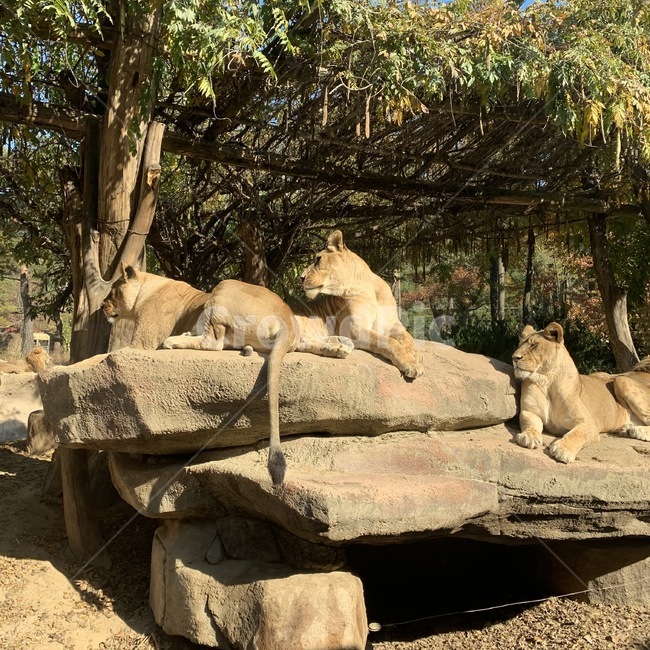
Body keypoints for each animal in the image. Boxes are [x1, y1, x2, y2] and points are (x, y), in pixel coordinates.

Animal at [294, 230, 423, 379]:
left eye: (318, 259)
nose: (300, 278)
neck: (369, 290)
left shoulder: (393, 325)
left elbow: (407, 335)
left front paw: (414, 353)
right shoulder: (354, 329)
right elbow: (390, 341)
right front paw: (411, 364)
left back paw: (336, 346)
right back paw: (336, 348)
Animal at [512, 322, 650, 463]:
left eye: (534, 345)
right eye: (519, 345)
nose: (514, 358)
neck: (547, 382)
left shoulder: (589, 425)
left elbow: (576, 435)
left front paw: (563, 449)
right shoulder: (530, 411)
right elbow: (529, 424)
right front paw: (529, 436)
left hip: (621, 380)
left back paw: (636, 430)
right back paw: (626, 429)